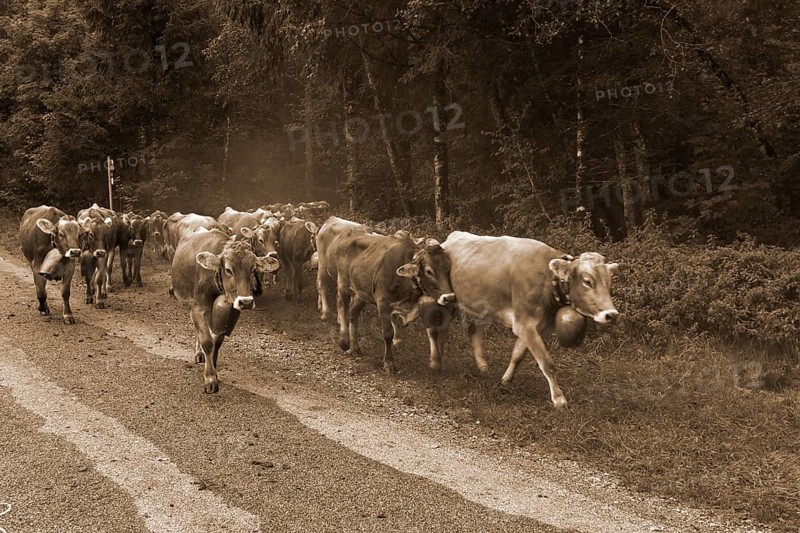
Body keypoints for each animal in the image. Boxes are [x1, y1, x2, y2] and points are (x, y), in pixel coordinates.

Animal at [170, 229, 280, 393]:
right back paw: (199, 353)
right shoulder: (197, 308)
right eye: (228, 270)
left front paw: (214, 368)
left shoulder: (230, 312)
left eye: (253, 269)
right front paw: (210, 379)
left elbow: (217, 340)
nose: (246, 302)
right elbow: (207, 341)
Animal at [318, 221, 456, 373]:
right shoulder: (383, 303)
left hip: (362, 292)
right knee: (342, 305)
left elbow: (432, 330)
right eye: (429, 271)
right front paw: (389, 363)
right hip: (343, 282)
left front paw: (435, 363)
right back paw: (344, 341)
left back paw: (354, 347)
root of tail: (349, 232)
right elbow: (388, 334)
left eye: (448, 269)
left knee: (353, 313)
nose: (449, 297)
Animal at [427, 231, 619, 408]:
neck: (548, 279)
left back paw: (483, 368)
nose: (612, 314)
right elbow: (547, 364)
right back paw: (436, 362)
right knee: (438, 330)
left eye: (609, 283)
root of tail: (452, 237)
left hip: (480, 306)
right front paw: (559, 400)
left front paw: (505, 381)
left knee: (474, 332)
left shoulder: (538, 326)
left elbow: (518, 355)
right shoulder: (524, 323)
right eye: (587, 281)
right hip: (446, 301)